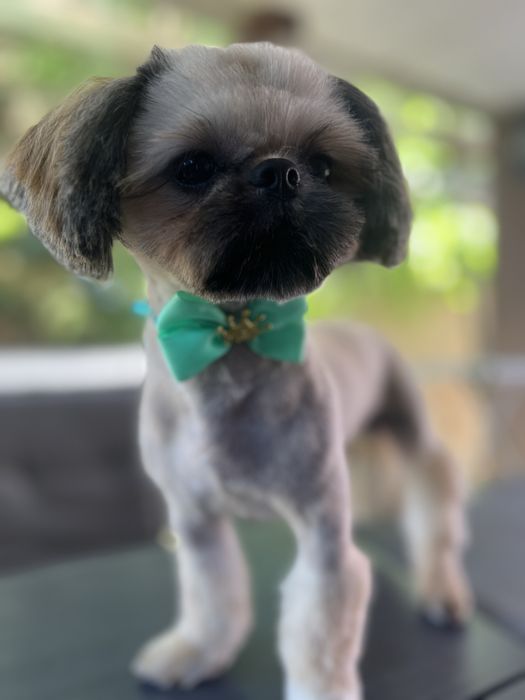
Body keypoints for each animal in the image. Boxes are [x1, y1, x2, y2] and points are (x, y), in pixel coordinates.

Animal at [1, 42, 472, 700]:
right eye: (193, 166)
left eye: (324, 165)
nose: (281, 172)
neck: (233, 342)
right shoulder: (196, 524)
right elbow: (212, 594)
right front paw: (198, 652)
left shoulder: (323, 543)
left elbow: (320, 634)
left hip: (410, 431)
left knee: (434, 503)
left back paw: (441, 589)